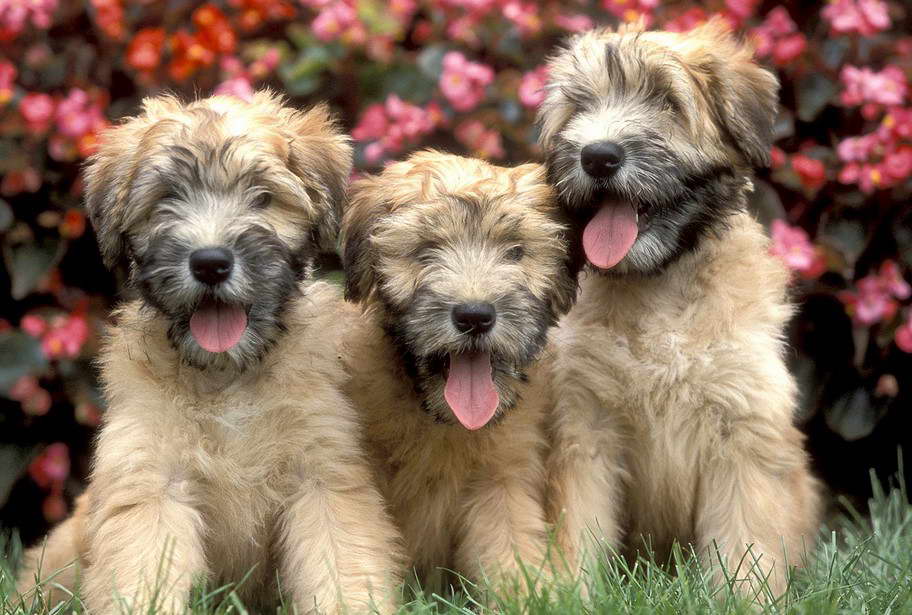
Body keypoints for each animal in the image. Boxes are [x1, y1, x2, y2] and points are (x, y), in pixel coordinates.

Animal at [16, 91, 402, 615]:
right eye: (166, 198)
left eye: (262, 196)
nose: (211, 263)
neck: (228, 375)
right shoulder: (151, 480)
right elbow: (143, 571)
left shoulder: (324, 475)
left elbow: (340, 566)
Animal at [338, 153, 580, 596]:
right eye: (425, 250)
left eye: (515, 251)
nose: (475, 316)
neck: (440, 420)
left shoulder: (502, 480)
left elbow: (512, 549)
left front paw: (533, 598)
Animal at [536, 21, 824, 600]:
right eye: (580, 106)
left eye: (667, 101)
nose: (597, 156)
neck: (660, 288)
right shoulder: (585, 427)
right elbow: (579, 524)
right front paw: (571, 594)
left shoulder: (743, 426)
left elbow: (747, 536)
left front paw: (746, 599)